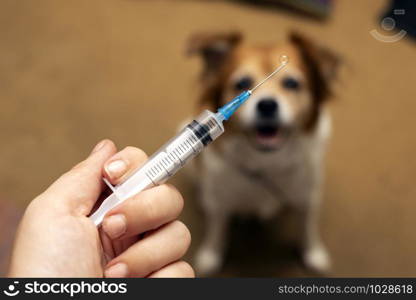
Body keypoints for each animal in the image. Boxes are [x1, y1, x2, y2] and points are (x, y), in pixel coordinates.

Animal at [185, 31, 338, 276]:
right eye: (242, 83)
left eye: (291, 83)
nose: (266, 105)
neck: (267, 162)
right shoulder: (220, 202)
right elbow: (217, 230)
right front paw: (210, 255)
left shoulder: (309, 195)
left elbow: (307, 227)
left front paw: (314, 254)